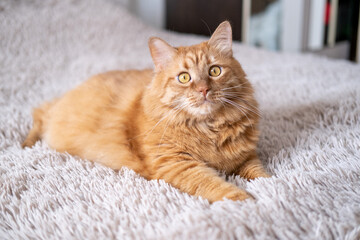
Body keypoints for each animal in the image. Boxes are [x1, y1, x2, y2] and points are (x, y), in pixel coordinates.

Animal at [22, 22, 270, 202]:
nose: (203, 89)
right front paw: (246, 201)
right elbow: (216, 186)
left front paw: (271, 185)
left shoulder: (246, 157)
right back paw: (26, 144)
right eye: (184, 77)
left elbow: (261, 174)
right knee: (39, 114)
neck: (209, 129)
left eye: (215, 71)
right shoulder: (177, 165)